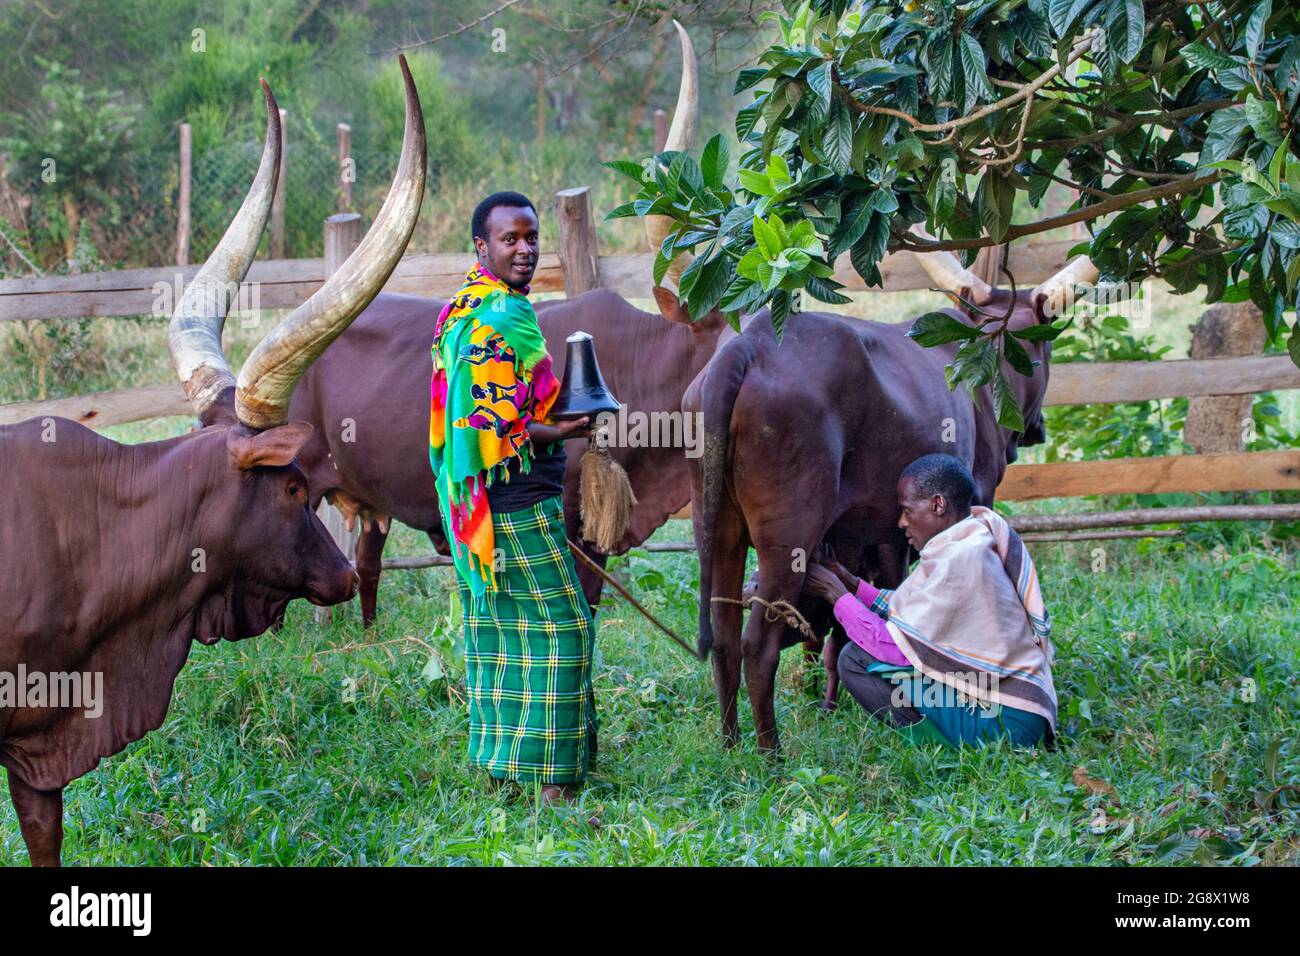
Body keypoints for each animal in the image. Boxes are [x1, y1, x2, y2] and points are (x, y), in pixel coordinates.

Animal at [691, 248, 1097, 754]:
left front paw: (829, 704)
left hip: (718, 531)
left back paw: (730, 745)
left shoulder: (873, 536)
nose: (1036, 427)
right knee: (757, 645)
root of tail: (746, 346)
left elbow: (849, 624)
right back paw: (771, 755)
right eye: (1046, 352)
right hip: (787, 540)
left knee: (725, 638)